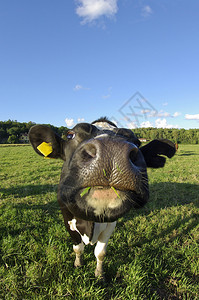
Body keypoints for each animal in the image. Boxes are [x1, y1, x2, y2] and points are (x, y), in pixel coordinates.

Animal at [28, 117, 176, 278]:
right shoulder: (67, 219)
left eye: (137, 142)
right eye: (70, 135)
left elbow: (100, 252)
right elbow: (77, 248)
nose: (112, 150)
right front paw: (78, 263)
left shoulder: (110, 223)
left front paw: (99, 274)